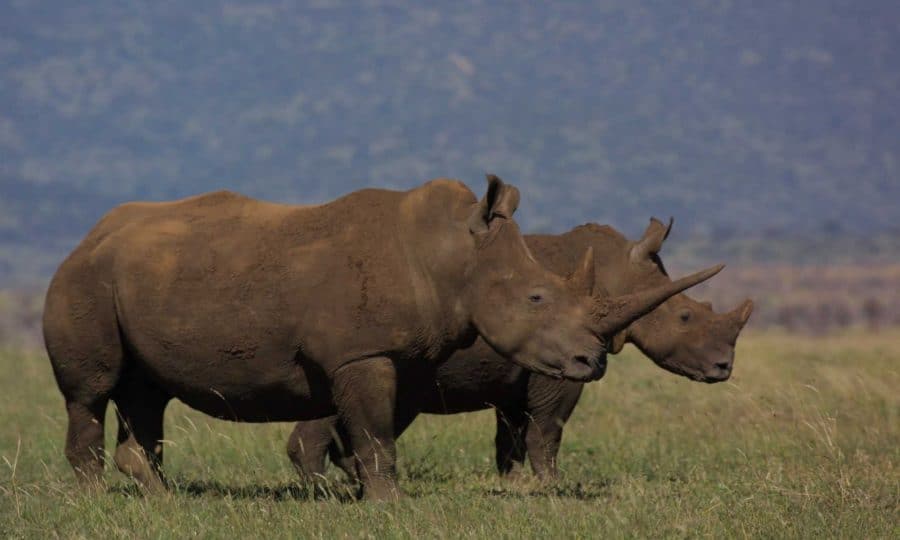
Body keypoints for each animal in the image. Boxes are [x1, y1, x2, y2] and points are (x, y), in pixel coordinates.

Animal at [287, 218, 753, 482]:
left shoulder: (519, 374)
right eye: (685, 317)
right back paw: (324, 491)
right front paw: (553, 488)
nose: (724, 367)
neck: (615, 271)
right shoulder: (559, 367)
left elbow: (510, 437)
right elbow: (547, 431)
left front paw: (512, 486)